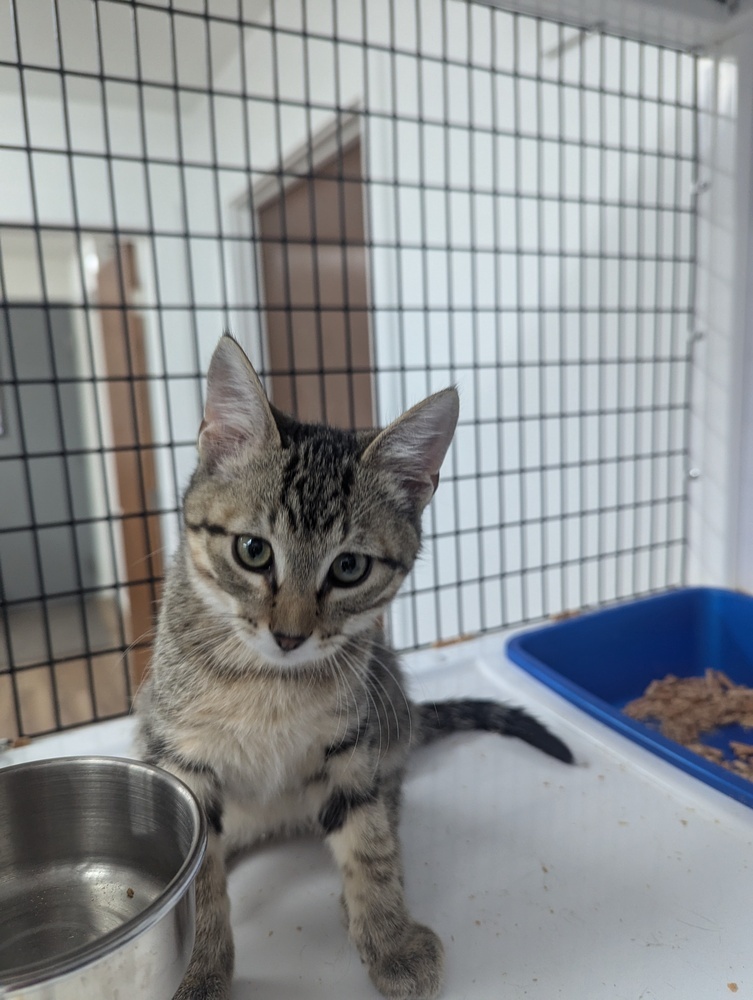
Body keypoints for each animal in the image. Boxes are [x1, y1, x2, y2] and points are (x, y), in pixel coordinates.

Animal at [137, 338, 568, 1000]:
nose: (289, 635)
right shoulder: (182, 754)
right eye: (252, 551)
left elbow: (369, 842)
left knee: (389, 804)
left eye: (348, 568)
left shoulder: (353, 744)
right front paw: (198, 967)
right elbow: (198, 870)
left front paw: (389, 937)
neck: (271, 684)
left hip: (386, 707)